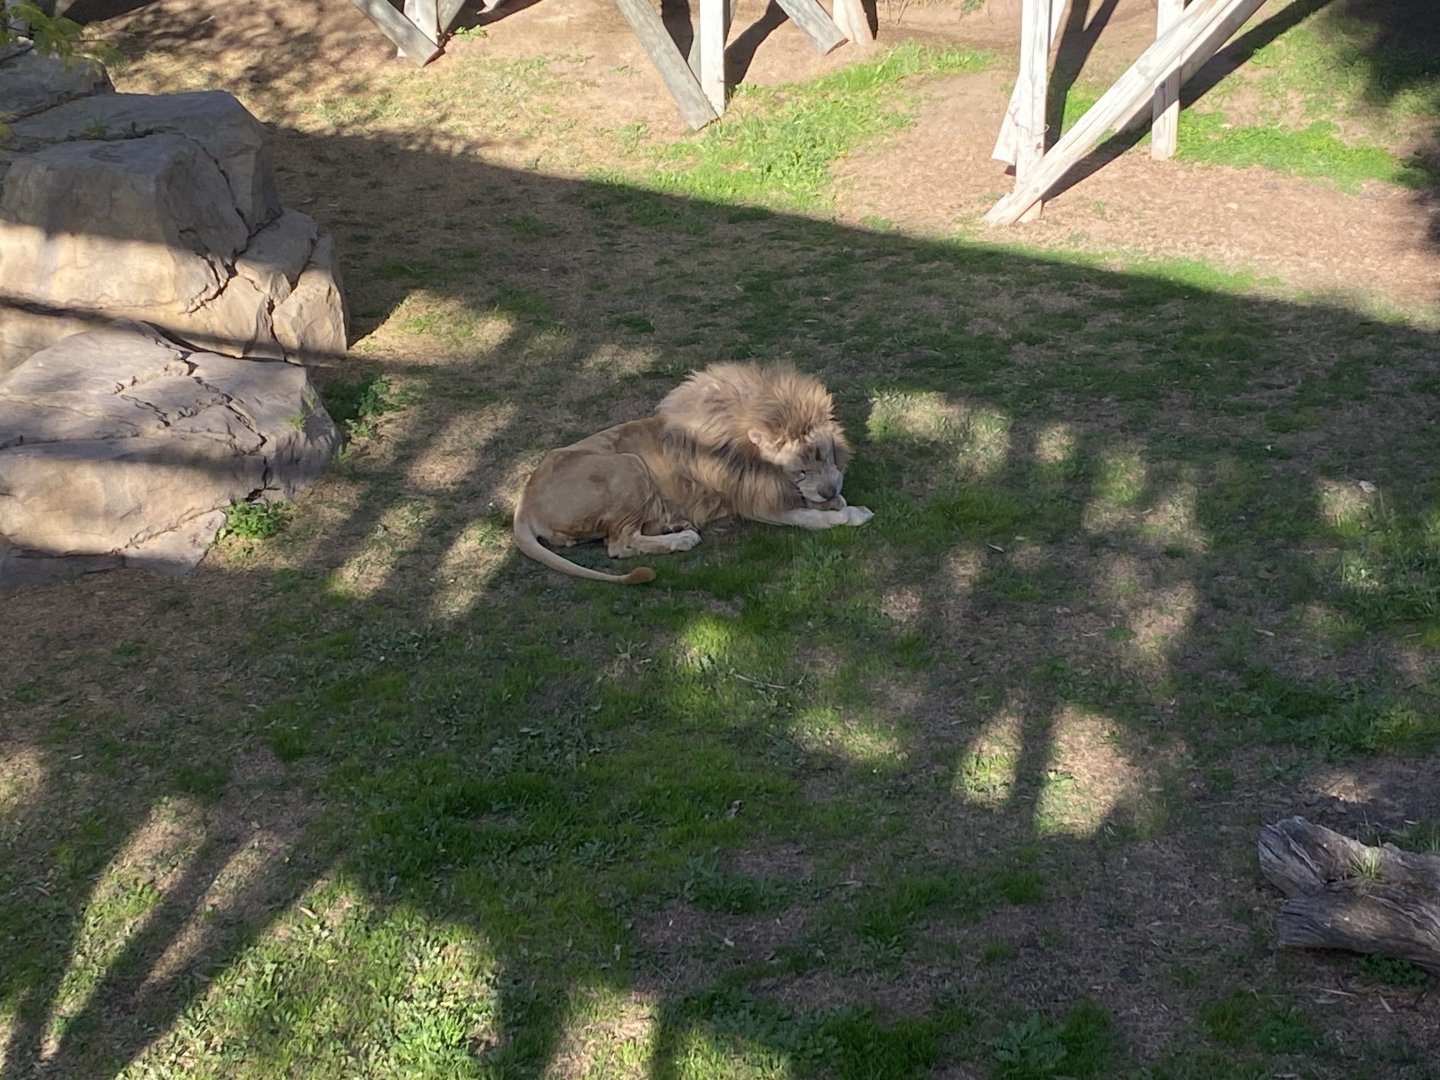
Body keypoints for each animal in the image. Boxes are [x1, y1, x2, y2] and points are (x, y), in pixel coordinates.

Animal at [512, 362, 874, 584]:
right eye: (799, 469)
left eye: (826, 455)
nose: (829, 491)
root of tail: (524, 502)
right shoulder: (754, 502)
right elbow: (810, 518)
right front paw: (851, 513)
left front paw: (837, 501)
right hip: (629, 465)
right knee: (619, 544)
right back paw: (682, 538)